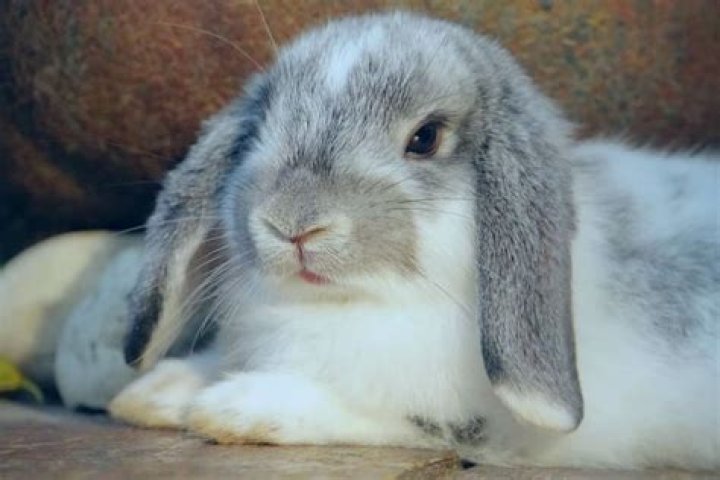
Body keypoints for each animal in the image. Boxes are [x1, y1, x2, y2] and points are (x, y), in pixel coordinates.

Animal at [108, 12, 720, 469]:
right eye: (259, 128)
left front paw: (233, 407)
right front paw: (155, 394)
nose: (292, 223)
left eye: (425, 138)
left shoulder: (469, 421)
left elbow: (378, 413)